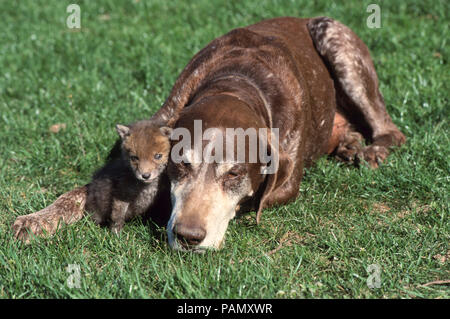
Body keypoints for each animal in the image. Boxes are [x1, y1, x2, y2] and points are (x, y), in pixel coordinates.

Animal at [11, 16, 404, 250]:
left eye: (234, 175)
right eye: (181, 165)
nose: (188, 236)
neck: (237, 83)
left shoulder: (287, 173)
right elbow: (80, 192)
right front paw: (39, 218)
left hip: (333, 35)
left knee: (392, 131)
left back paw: (373, 149)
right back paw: (350, 144)